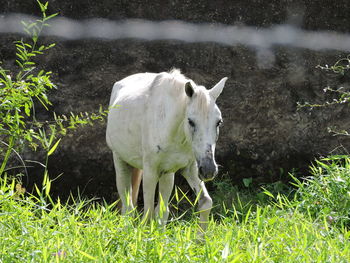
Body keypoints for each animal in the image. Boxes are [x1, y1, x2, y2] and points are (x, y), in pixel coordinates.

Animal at [106, 69, 227, 230]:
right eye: (191, 121)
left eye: (218, 122)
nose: (209, 170)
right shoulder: (150, 170)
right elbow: (148, 212)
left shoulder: (188, 168)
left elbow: (205, 203)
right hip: (120, 162)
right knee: (128, 207)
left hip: (166, 175)